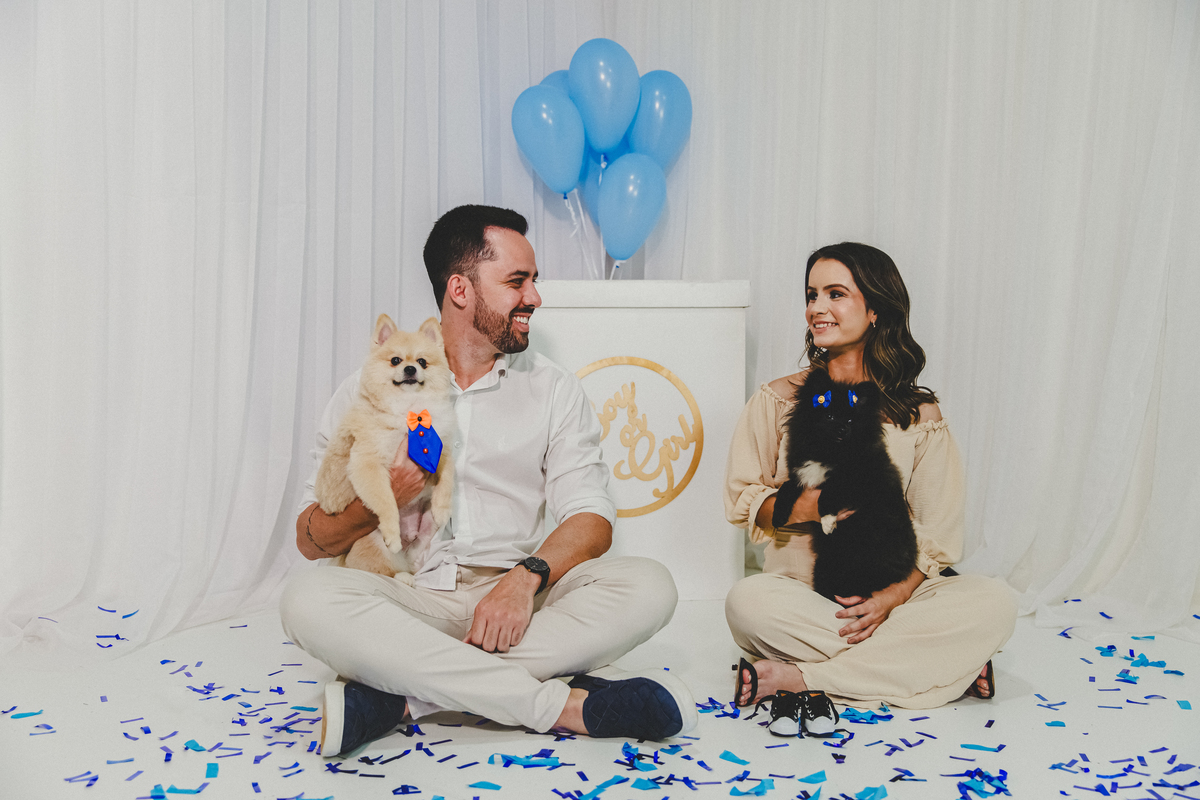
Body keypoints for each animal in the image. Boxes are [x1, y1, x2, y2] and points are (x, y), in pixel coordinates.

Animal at [314, 314, 456, 581]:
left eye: (422, 362)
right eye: (395, 360)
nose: (410, 369)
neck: (408, 409)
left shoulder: (441, 449)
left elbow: (448, 478)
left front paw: (443, 507)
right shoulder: (367, 464)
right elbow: (385, 500)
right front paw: (391, 530)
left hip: (426, 530)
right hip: (373, 545)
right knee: (385, 571)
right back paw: (402, 574)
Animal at [771, 369, 917, 601]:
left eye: (850, 420)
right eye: (829, 416)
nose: (842, 429)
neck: (829, 452)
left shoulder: (858, 481)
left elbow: (830, 491)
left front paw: (827, 521)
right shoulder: (800, 475)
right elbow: (785, 489)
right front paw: (778, 516)